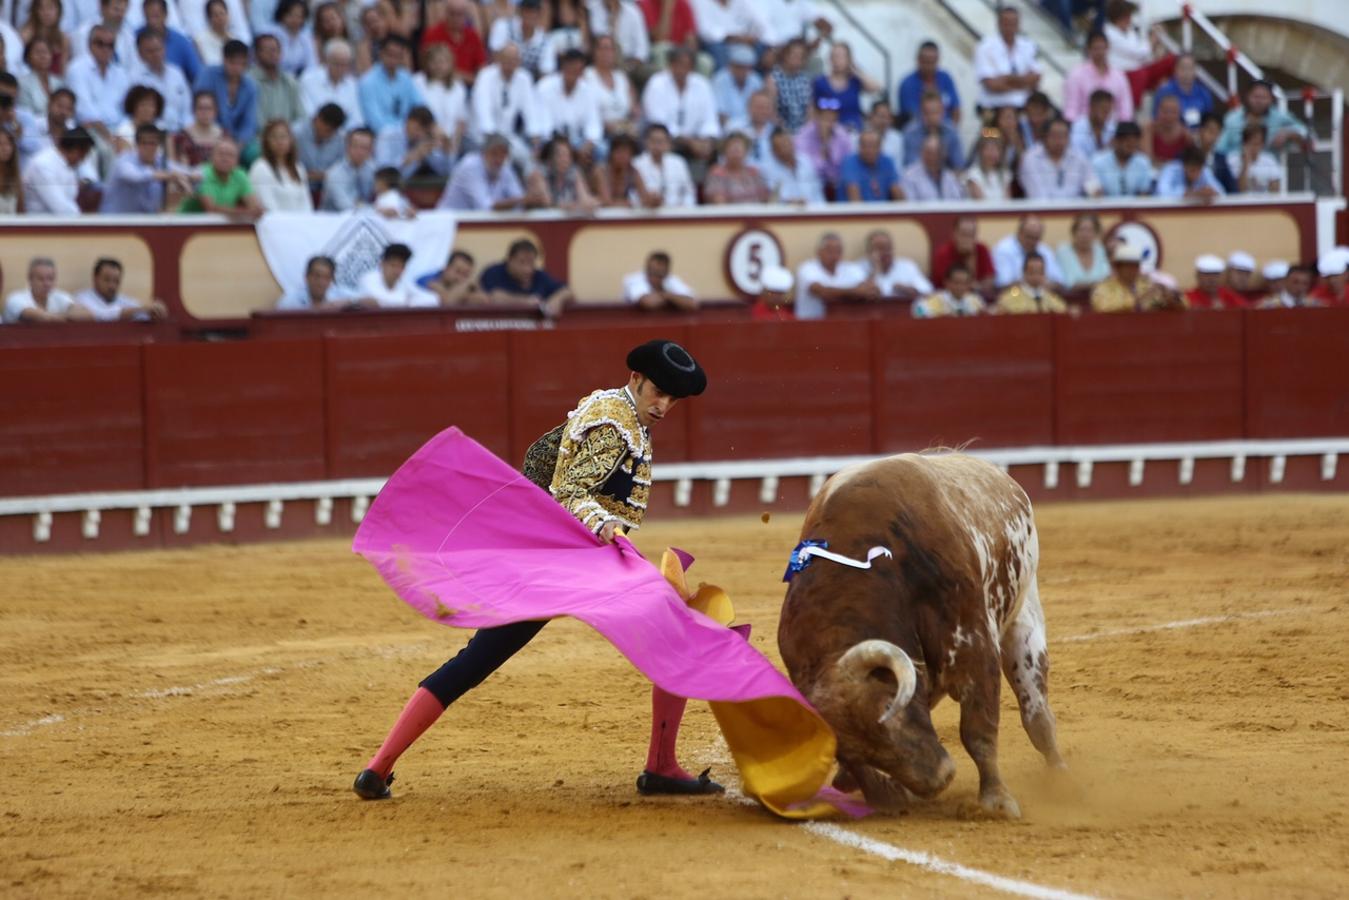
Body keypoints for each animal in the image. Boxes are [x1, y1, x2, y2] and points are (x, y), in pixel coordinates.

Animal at [782, 453, 1063, 820]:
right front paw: (883, 792)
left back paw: (1060, 778)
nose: (939, 779)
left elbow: (978, 729)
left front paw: (996, 801)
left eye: (890, 708)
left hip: (1024, 616)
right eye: (844, 750)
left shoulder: (974, 648)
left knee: (1037, 715)